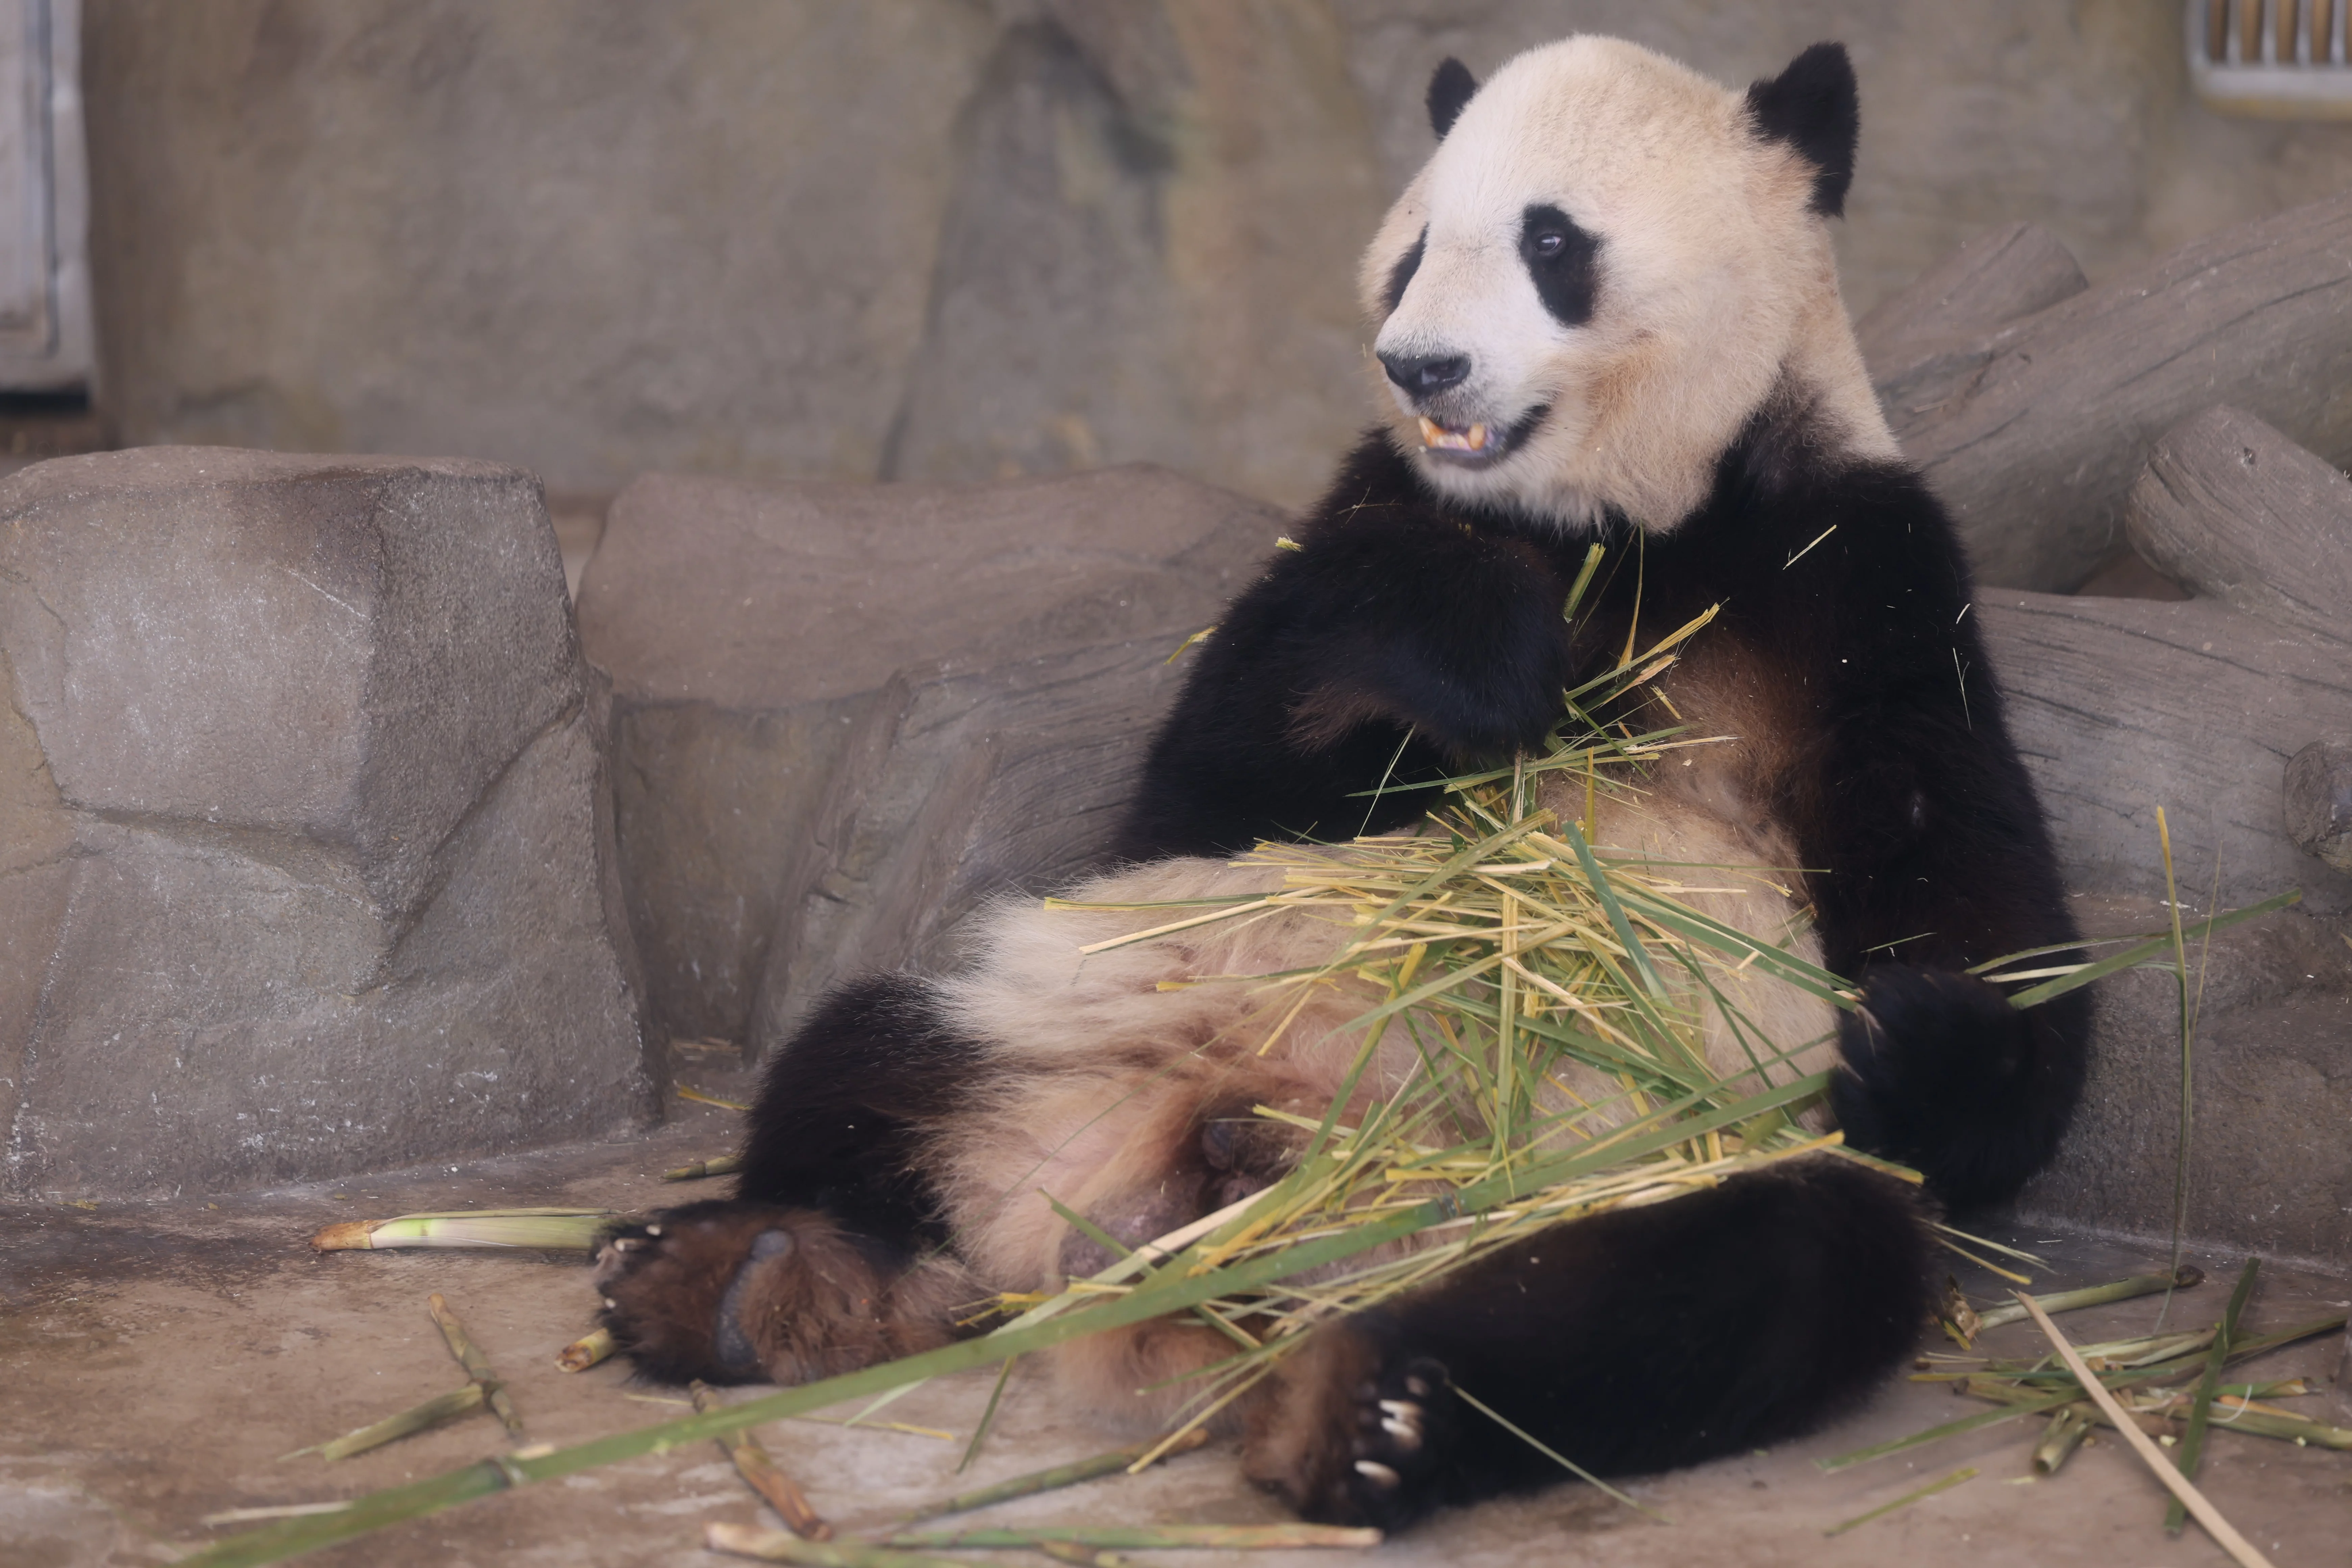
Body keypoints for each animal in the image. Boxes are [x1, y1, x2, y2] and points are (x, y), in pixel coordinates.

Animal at [595, 36, 2090, 1529]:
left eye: (1553, 242)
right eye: (1415, 245)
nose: (1421, 365)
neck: (1622, 520)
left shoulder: (1862, 572)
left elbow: (1980, 921)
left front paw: (1923, 1032)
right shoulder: (1369, 516)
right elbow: (1207, 797)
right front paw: (1480, 646)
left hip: (1628, 1171)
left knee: (1756, 1276)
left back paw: (1369, 1411)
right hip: (1063, 1021)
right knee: (863, 1057)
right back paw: (743, 1282)